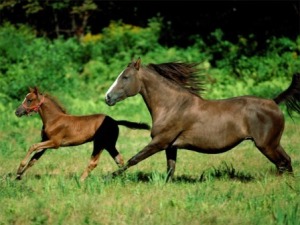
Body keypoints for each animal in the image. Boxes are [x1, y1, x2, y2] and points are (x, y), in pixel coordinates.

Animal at [14, 86, 150, 181]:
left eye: (29, 100)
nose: (17, 112)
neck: (54, 119)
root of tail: (114, 121)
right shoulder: (45, 142)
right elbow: (34, 159)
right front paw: (18, 176)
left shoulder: (55, 143)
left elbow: (33, 146)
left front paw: (19, 169)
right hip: (109, 144)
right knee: (119, 159)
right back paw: (123, 178)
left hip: (100, 143)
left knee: (94, 162)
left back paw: (80, 180)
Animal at [105, 57, 300, 181]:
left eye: (125, 77)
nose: (107, 97)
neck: (172, 106)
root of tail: (274, 102)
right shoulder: (171, 146)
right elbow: (170, 170)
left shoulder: (160, 141)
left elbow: (133, 159)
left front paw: (108, 177)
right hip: (273, 144)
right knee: (286, 162)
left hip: (267, 145)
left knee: (283, 163)